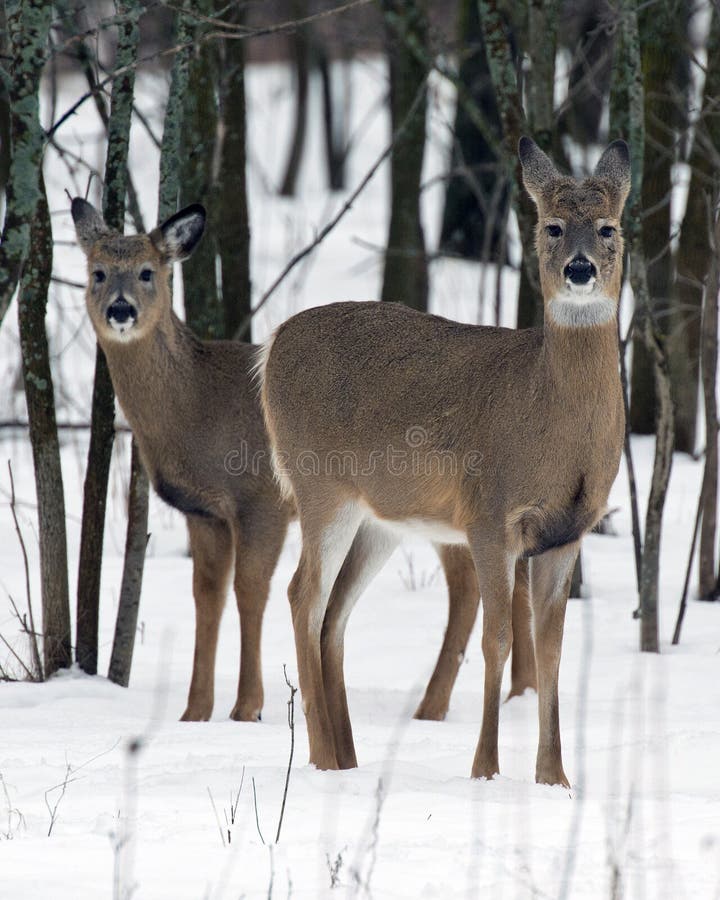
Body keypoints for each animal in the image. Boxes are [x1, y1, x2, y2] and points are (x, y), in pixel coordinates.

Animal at [69, 197, 516, 724]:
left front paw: (247, 706)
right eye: (96, 272)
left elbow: (250, 589)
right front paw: (194, 711)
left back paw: (433, 707)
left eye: (146, 272)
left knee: (466, 583)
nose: (121, 309)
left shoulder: (261, 499)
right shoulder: (204, 512)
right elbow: (207, 595)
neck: (196, 408)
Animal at [260, 137, 632, 784]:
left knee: (335, 613)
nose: (579, 268)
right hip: (321, 488)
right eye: (553, 225)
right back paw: (324, 758)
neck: (551, 423)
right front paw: (485, 768)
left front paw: (555, 778)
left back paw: (349, 758)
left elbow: (551, 650)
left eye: (608, 227)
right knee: (303, 596)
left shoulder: (568, 533)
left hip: (379, 521)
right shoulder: (488, 516)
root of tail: (272, 342)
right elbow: (498, 639)